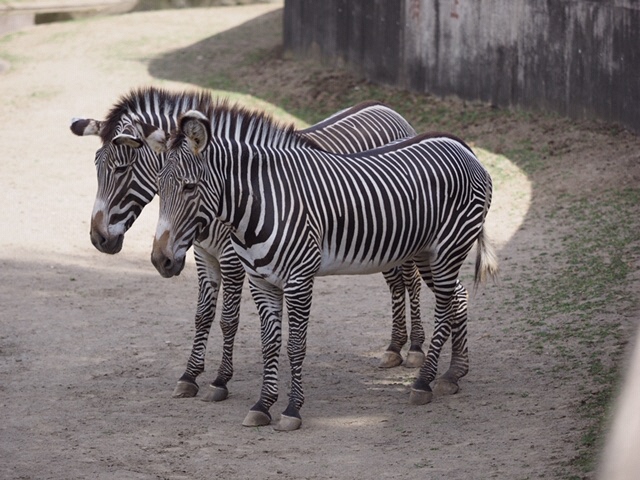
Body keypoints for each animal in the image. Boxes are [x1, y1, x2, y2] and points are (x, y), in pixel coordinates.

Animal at [71, 85, 424, 402]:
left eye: (122, 168)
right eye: (96, 165)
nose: (98, 239)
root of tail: (386, 108)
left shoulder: (231, 257)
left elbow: (229, 319)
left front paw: (220, 380)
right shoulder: (204, 255)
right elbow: (202, 315)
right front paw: (190, 375)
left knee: (412, 281)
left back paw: (416, 348)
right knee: (396, 282)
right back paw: (395, 347)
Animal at [151, 102, 500, 432]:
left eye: (189, 187)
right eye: (158, 188)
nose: (160, 260)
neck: (261, 205)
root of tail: (463, 147)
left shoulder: (298, 279)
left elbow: (294, 346)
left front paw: (291, 410)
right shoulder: (261, 281)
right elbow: (269, 344)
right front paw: (262, 405)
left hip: (448, 250)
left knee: (443, 309)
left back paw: (423, 382)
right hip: (431, 253)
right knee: (458, 296)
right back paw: (453, 374)